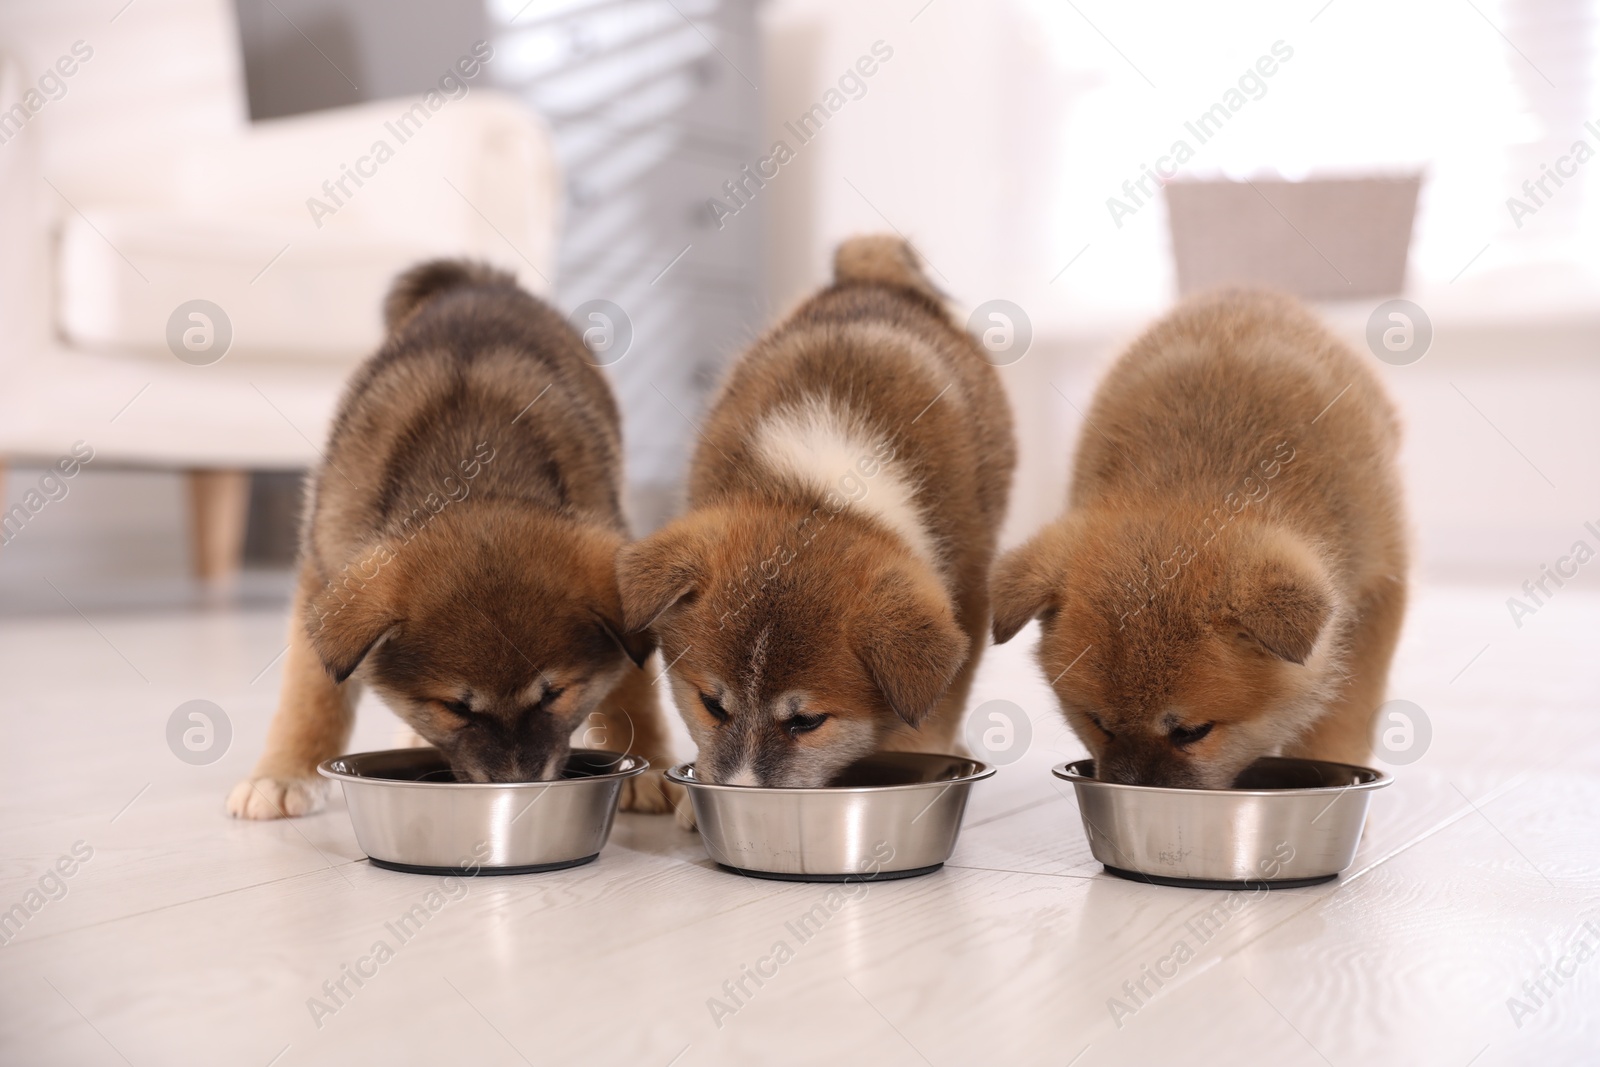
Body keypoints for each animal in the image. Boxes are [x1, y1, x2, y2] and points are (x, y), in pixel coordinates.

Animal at [225, 262, 675, 825]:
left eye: (554, 694)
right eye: (455, 707)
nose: (517, 788)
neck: (474, 471)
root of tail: (479, 281)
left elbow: (635, 691)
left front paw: (653, 764)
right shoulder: (324, 567)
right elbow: (311, 694)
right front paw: (286, 772)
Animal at [614, 238, 1011, 796]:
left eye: (805, 722)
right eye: (712, 705)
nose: (740, 792)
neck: (819, 494)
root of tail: (875, 277)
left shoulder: (966, 605)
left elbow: (930, 720)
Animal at [992, 287, 1408, 790]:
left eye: (1192, 732)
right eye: (1099, 724)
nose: (1135, 790)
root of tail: (1242, 292)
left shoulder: (1379, 589)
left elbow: (1342, 716)